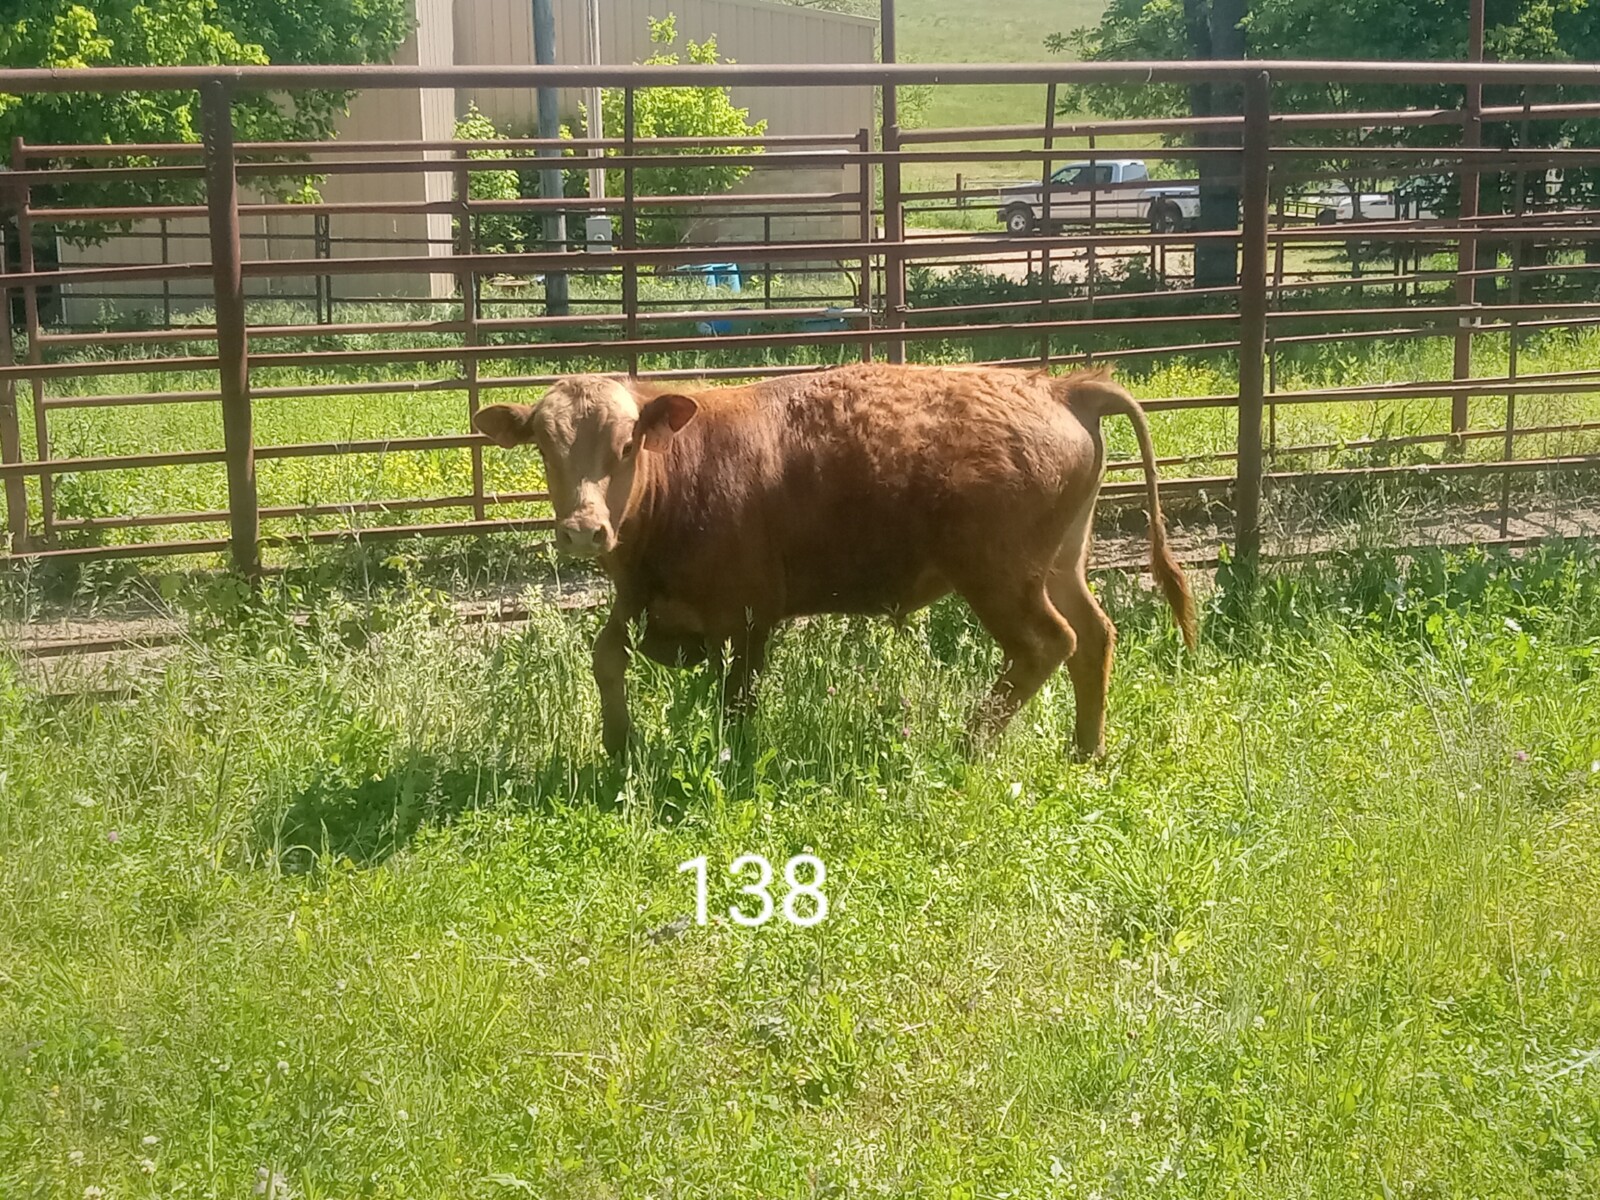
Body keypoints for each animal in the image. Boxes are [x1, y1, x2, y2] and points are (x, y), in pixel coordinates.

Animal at [472, 363, 1195, 761]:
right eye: (544, 444)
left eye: (626, 444)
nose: (584, 530)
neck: (681, 475)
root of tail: (1063, 390)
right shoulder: (637, 594)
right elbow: (606, 656)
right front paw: (618, 745)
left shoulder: (747, 615)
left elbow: (737, 697)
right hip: (1059, 566)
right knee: (1094, 638)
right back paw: (1086, 749)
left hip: (1000, 578)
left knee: (1048, 644)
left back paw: (968, 744)